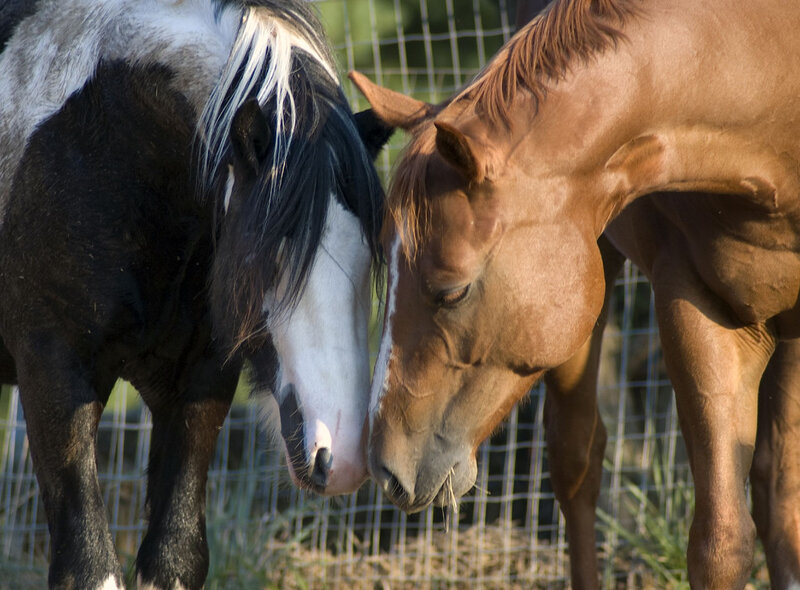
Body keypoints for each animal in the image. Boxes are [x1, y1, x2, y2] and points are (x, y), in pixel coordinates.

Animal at [0, 0, 391, 588]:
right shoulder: (52, 372)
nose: (340, 456)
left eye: (368, 257)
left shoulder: (200, 382)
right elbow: (89, 566)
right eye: (267, 258)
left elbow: (175, 555)